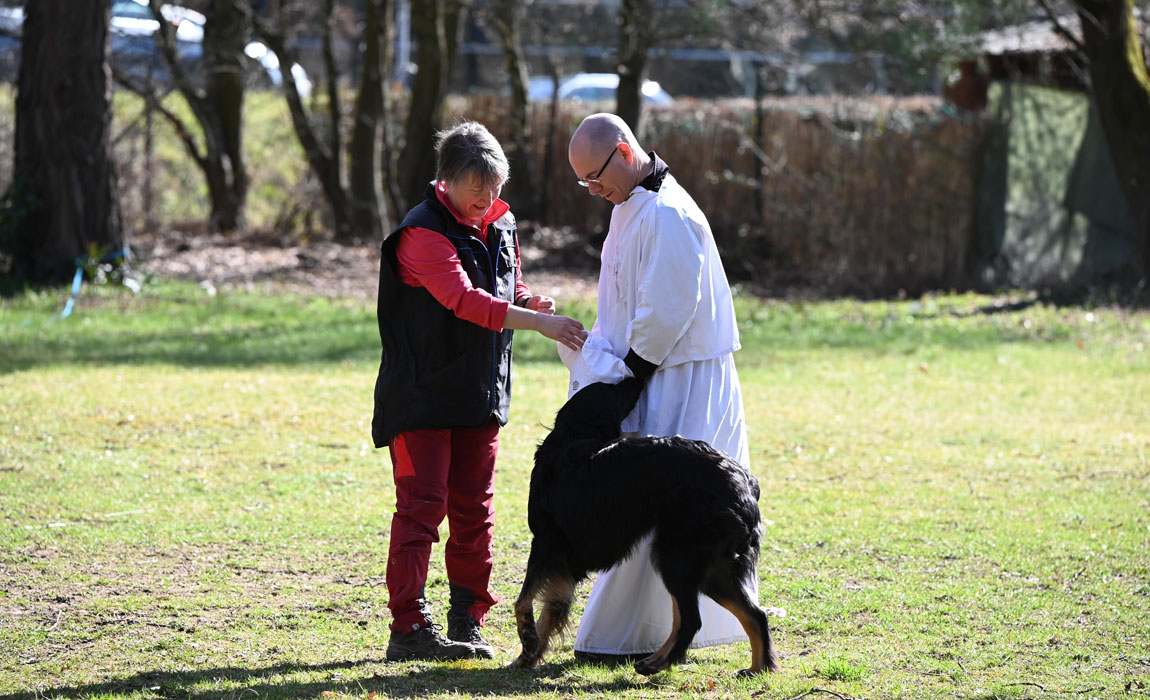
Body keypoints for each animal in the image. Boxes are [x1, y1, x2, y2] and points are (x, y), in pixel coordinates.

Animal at [512, 379, 782, 675]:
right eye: (615, 389)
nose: (635, 379)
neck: (572, 437)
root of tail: (745, 480)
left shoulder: (546, 542)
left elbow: (523, 600)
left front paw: (528, 640)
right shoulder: (563, 564)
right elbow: (551, 610)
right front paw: (527, 656)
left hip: (677, 556)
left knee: (691, 620)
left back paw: (655, 664)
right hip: (711, 567)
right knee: (753, 615)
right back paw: (756, 669)